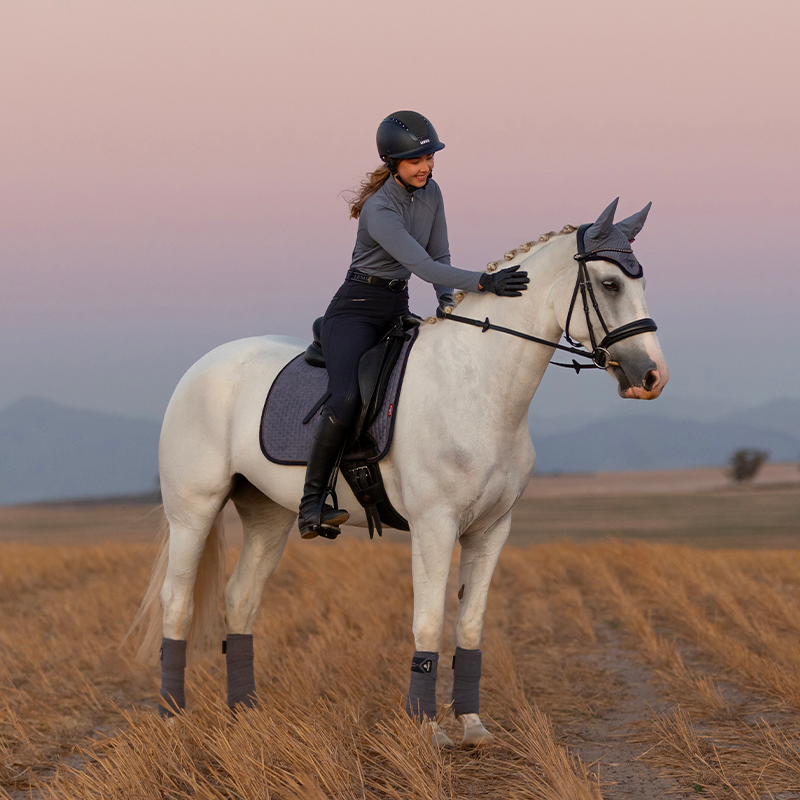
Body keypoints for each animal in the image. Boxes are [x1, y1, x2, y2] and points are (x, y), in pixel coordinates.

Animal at [133, 200, 668, 752]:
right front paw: (428, 729)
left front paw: (473, 726)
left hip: (266, 516)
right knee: (177, 603)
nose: (652, 377)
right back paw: (172, 720)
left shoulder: (492, 530)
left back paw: (247, 719)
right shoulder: (434, 526)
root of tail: (201, 366)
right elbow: (428, 622)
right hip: (193, 512)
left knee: (240, 600)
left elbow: (470, 625)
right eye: (610, 284)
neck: (478, 385)